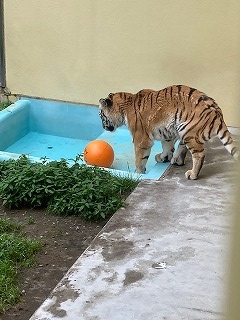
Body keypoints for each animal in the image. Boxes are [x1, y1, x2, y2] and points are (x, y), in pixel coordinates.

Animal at [98, 85, 238, 180]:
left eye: (101, 115)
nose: (103, 127)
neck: (125, 105)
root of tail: (217, 112)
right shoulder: (167, 132)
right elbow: (167, 146)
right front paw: (163, 157)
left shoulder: (140, 140)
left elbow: (139, 159)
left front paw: (138, 173)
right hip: (183, 130)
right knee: (182, 147)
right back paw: (176, 160)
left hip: (188, 131)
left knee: (199, 154)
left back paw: (192, 174)